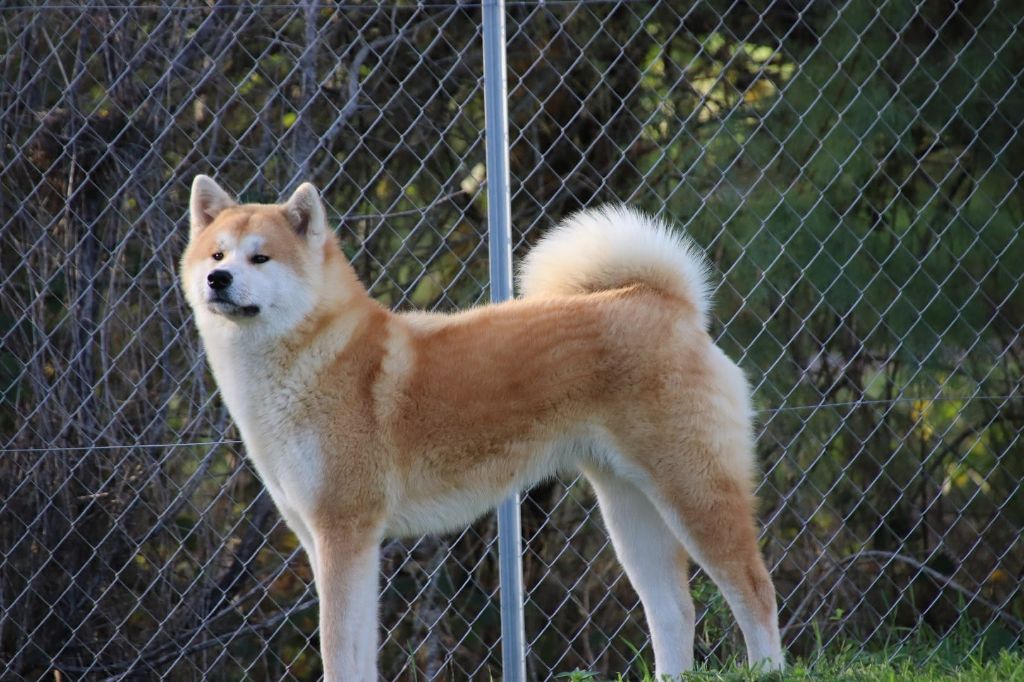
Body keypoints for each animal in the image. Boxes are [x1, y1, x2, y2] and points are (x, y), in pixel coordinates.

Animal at [182, 176, 782, 679]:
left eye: (260, 256)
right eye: (217, 253)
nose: (217, 278)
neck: (315, 359)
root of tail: (669, 304)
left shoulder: (343, 533)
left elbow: (336, 651)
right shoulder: (330, 539)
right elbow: (358, 652)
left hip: (693, 492)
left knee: (756, 590)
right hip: (630, 508)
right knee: (674, 609)